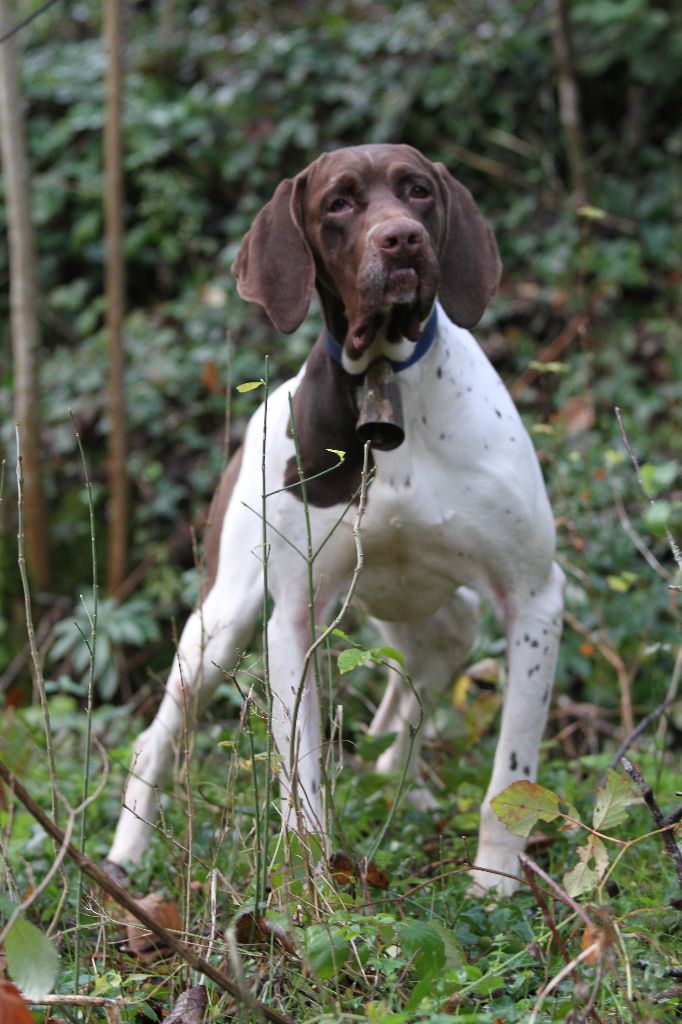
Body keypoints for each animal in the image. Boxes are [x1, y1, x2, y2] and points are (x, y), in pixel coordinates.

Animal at [107, 140, 561, 892]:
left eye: (417, 191)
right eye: (339, 203)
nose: (400, 239)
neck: (385, 379)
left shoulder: (534, 599)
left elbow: (510, 782)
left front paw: (495, 888)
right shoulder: (291, 619)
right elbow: (302, 787)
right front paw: (312, 894)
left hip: (437, 616)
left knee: (411, 697)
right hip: (221, 624)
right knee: (153, 741)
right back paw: (123, 859)